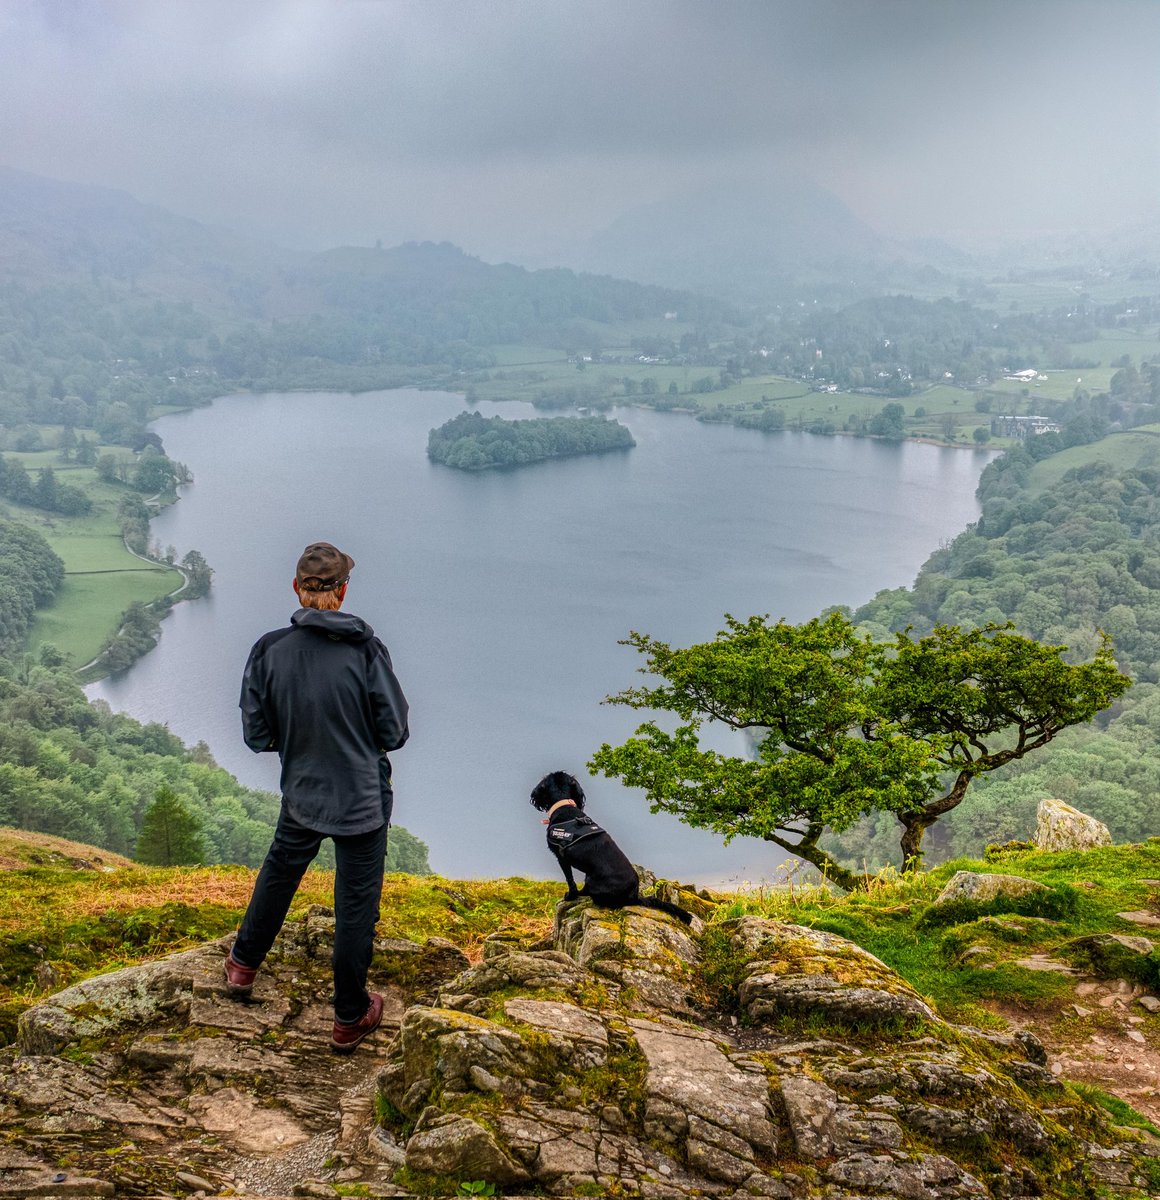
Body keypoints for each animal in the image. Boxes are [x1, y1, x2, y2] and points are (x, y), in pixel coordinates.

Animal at [530, 768, 695, 926]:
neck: (564, 806)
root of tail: (634, 897)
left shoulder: (561, 857)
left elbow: (570, 880)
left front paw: (570, 896)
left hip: (591, 879)